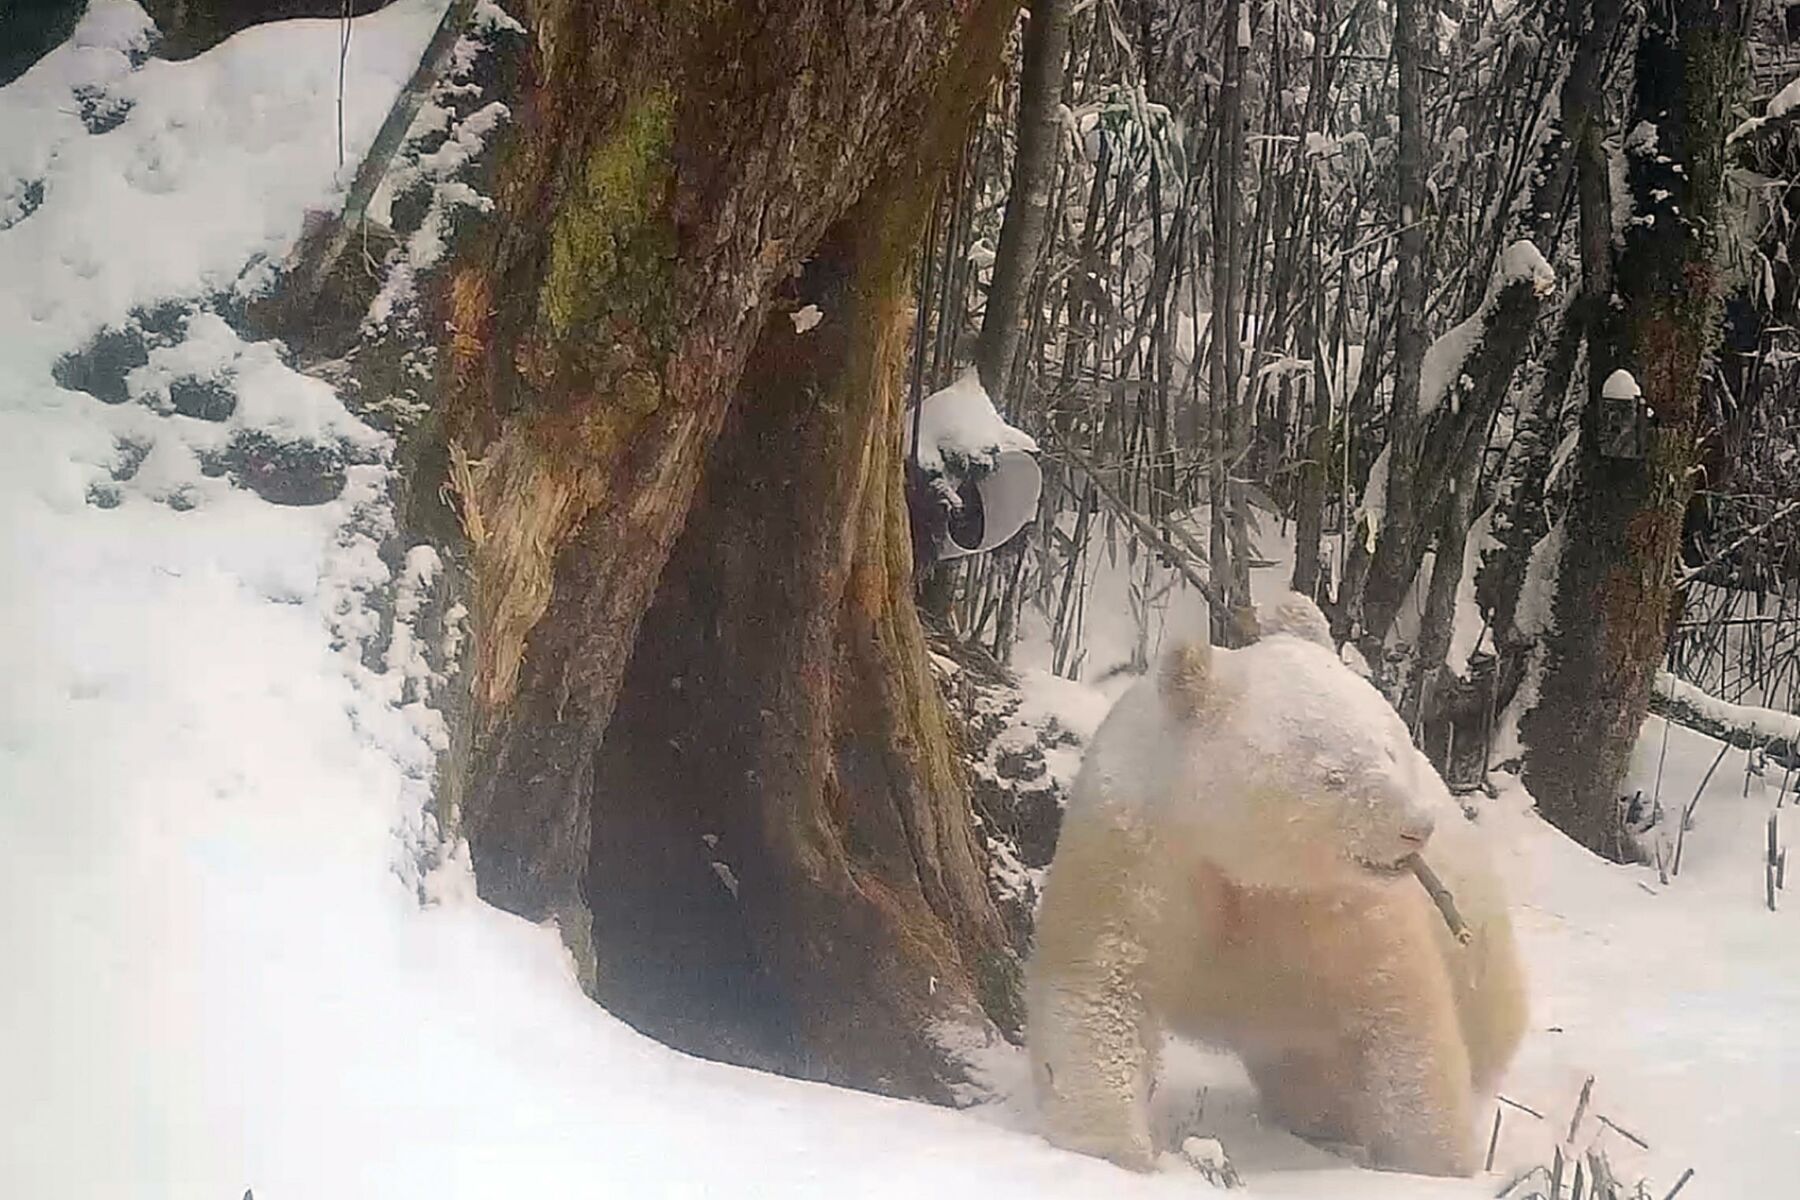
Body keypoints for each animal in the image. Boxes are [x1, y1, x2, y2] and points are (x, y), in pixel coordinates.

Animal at [1036, 597, 1526, 1180]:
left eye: (1391, 748)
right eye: (1333, 774)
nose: (1415, 828)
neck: (1242, 865)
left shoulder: (1337, 905)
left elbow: (1401, 1016)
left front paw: (1436, 1166)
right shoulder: (1133, 858)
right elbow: (1103, 987)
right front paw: (1114, 1150)